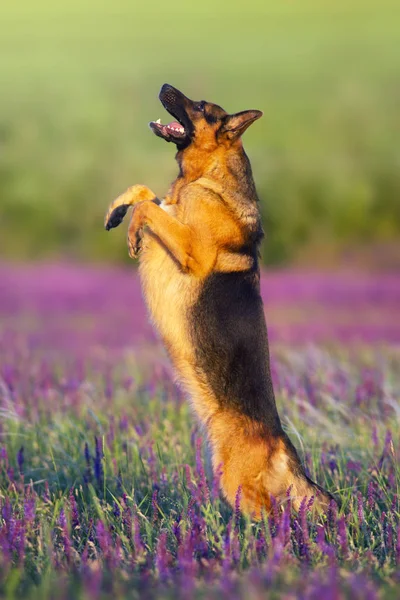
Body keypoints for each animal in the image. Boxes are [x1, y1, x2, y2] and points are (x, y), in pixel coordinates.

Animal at [104, 83, 332, 516]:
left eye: (200, 107)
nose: (164, 86)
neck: (205, 177)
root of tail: (283, 445)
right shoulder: (172, 213)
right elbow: (146, 194)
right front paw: (115, 211)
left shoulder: (191, 250)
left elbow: (148, 208)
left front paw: (131, 230)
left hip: (238, 485)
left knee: (279, 520)